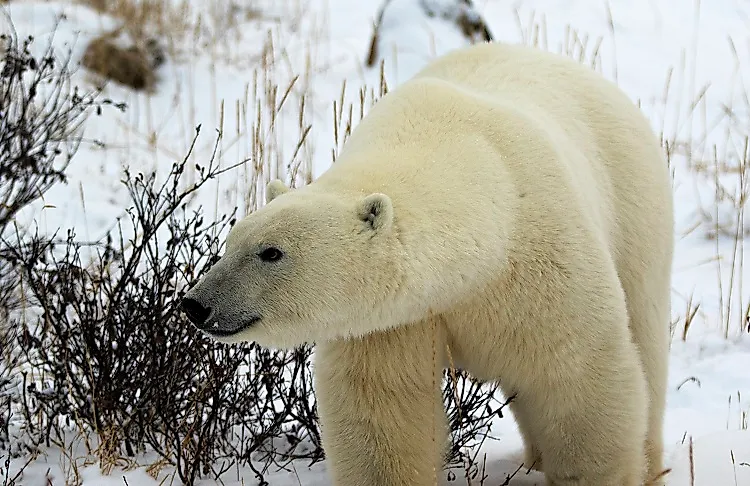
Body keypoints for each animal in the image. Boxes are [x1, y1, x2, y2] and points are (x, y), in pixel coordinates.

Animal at [181, 41, 676, 486]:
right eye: (230, 243)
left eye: (271, 252)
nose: (196, 304)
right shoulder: (392, 318)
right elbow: (383, 407)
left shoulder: (540, 264)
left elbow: (578, 377)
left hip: (633, 204)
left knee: (645, 334)